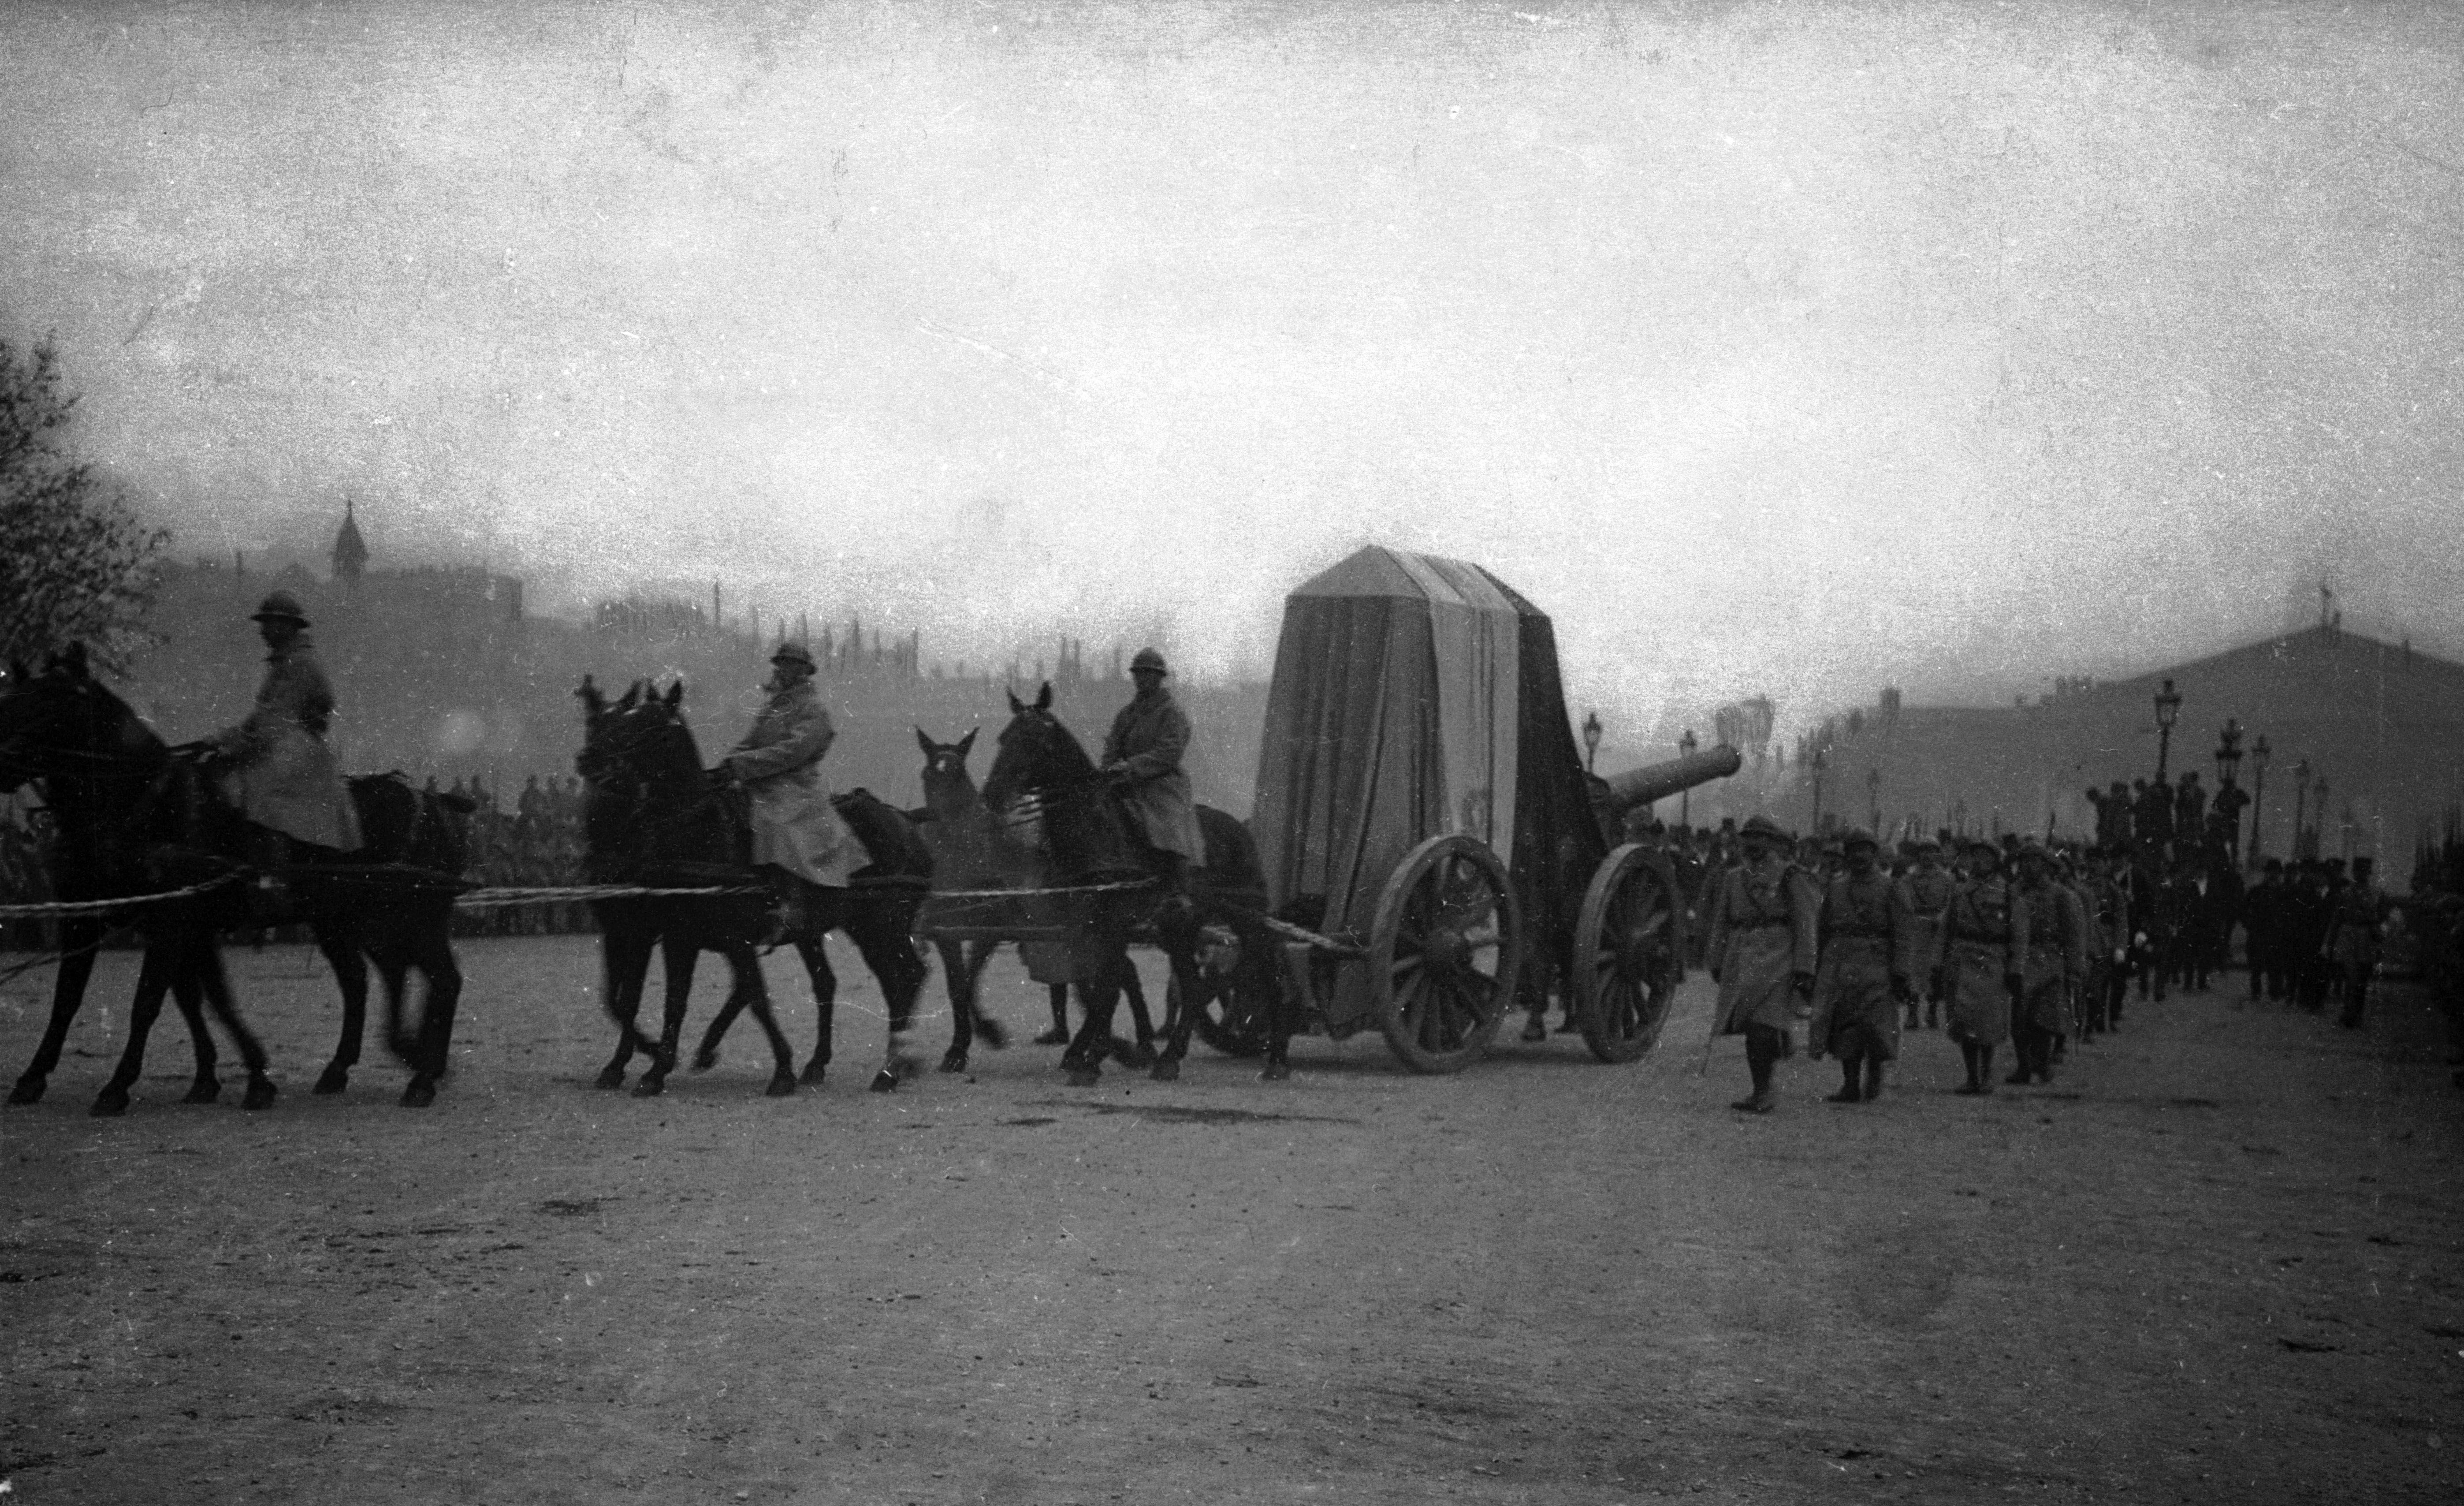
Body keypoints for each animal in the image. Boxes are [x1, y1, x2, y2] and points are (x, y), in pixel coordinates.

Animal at [0, 641, 468, 1114]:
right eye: (13, 699)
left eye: (50, 702)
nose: (3, 761)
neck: (143, 804)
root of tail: (435, 803)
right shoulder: (101, 921)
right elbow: (107, 1000)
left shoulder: (169, 923)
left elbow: (149, 1002)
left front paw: (118, 1086)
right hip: (345, 922)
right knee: (367, 979)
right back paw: (358, 1066)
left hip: (413, 919)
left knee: (441, 979)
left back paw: (423, 1075)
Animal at [571, 675, 936, 1094]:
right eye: (599, 722)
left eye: (648, 726)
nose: (590, 760)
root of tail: (905, 821)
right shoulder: (672, 935)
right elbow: (664, 1000)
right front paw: (653, 1067)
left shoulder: (719, 937)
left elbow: (755, 997)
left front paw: (781, 1071)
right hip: (835, 928)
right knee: (842, 982)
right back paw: (840, 1063)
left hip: (881, 924)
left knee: (905, 976)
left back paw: (892, 1068)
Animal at [966, 685, 1271, 1084]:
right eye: (1004, 738)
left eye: (1035, 742)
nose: (992, 796)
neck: (1096, 834)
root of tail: (1241, 828)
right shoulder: (1084, 926)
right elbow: (1099, 986)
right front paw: (1094, 1052)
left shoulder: (1112, 925)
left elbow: (1107, 988)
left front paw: (1095, 1056)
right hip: (1179, 928)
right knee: (1193, 986)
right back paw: (1171, 1056)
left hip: (1245, 918)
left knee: (1258, 970)